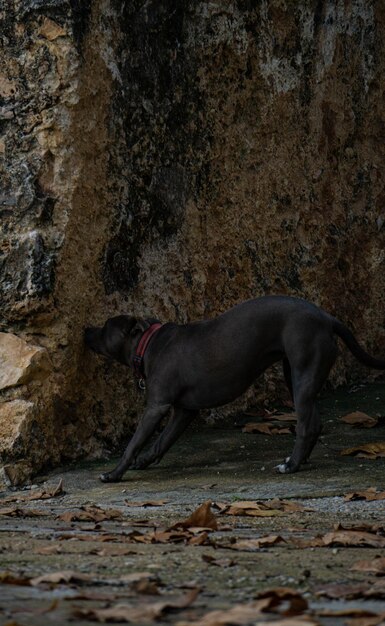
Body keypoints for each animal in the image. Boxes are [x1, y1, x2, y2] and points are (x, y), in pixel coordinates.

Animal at [85, 294, 384, 480]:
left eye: (105, 327)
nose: (85, 330)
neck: (148, 342)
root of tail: (326, 317)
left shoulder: (156, 407)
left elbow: (133, 443)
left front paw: (114, 473)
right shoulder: (184, 411)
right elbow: (162, 441)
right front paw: (145, 461)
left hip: (302, 376)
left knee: (306, 426)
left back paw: (291, 465)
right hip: (297, 377)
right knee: (315, 423)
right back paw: (301, 461)